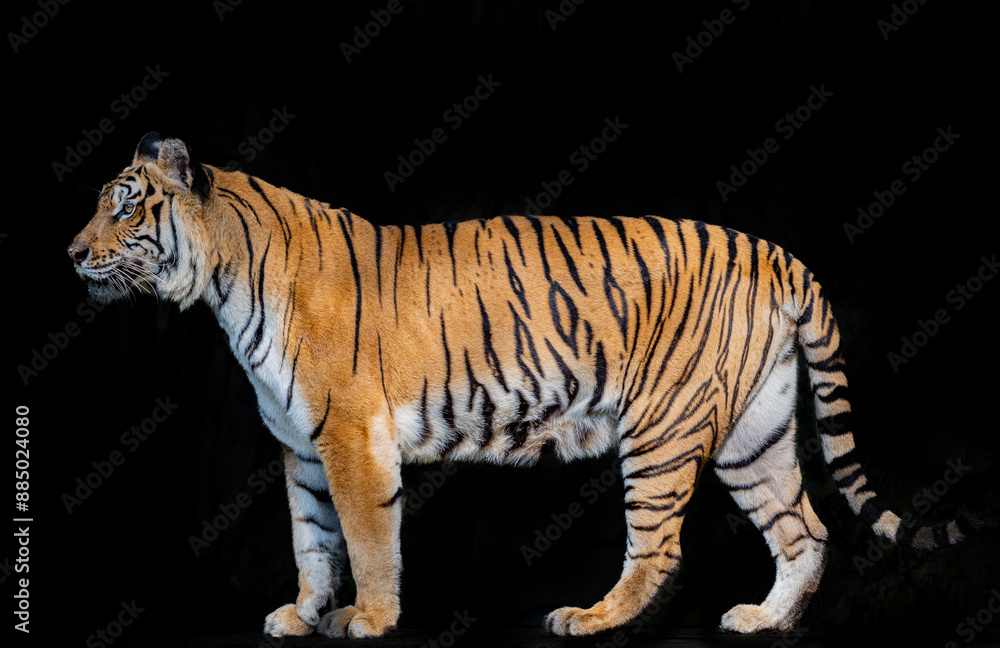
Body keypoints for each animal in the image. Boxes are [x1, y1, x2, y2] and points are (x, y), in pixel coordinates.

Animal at [67, 132, 975, 638]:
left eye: (125, 206)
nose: (72, 253)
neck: (223, 285)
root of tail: (777, 252)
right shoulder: (301, 448)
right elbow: (312, 541)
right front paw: (302, 614)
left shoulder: (350, 437)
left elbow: (366, 541)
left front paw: (369, 621)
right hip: (756, 432)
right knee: (805, 531)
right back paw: (762, 622)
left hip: (663, 430)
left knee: (662, 545)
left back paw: (589, 619)